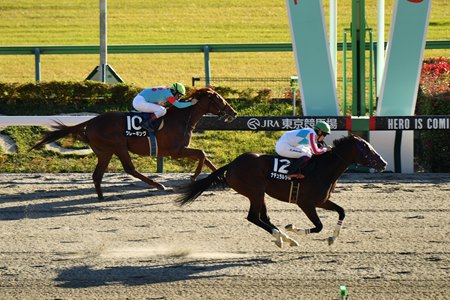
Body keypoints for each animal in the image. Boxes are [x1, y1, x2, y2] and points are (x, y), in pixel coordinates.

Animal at [30, 86, 237, 199]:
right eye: (218, 98)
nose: (233, 112)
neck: (180, 118)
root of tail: (91, 122)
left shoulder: (180, 149)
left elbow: (206, 158)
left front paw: (221, 179)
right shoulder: (176, 150)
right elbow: (202, 154)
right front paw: (194, 177)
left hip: (104, 152)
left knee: (98, 175)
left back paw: (101, 197)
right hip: (118, 146)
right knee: (129, 169)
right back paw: (157, 185)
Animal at [176, 135, 386, 247]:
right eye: (366, 149)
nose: (383, 163)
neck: (322, 169)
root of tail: (233, 164)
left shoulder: (322, 201)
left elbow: (342, 211)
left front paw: (332, 238)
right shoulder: (306, 203)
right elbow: (318, 226)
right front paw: (293, 228)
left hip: (259, 194)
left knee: (263, 217)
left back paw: (284, 238)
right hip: (255, 192)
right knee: (253, 217)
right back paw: (283, 236)